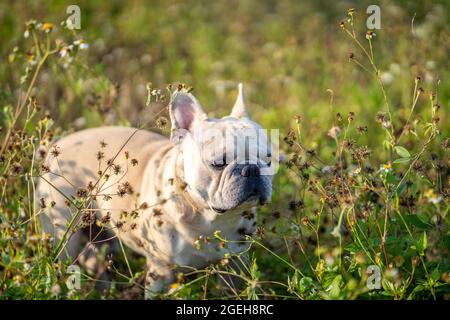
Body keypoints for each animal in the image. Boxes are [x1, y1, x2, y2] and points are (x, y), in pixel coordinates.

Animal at [37, 84, 272, 296]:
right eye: (218, 163)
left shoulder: (235, 263)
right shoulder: (161, 272)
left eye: (269, 159)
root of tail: (56, 146)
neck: (210, 217)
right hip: (64, 235)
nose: (251, 168)